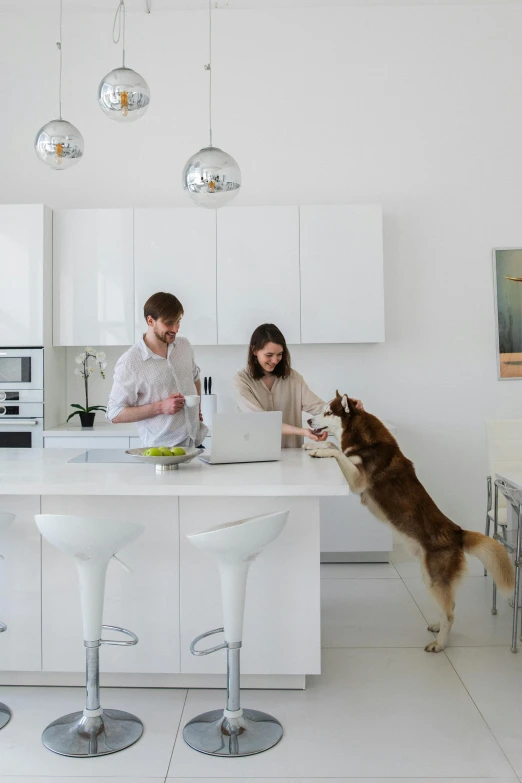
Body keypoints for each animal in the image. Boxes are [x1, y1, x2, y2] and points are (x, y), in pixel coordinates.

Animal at [304, 392, 512, 656]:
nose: (308, 421)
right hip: (428, 576)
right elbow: (333, 445)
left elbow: (338, 452)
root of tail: (457, 532)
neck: (365, 439)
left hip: (434, 579)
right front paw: (313, 445)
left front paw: (320, 451)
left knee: (450, 614)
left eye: (328, 412)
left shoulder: (357, 481)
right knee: (450, 606)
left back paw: (439, 644)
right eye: (320, 410)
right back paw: (437, 626)